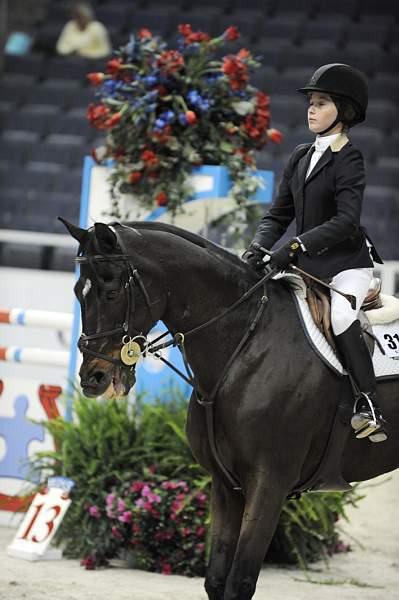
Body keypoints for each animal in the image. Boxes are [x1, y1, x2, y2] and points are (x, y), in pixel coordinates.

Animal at [61, 219, 399, 600]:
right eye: (78, 291)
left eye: (111, 292)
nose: (93, 378)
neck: (245, 346)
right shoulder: (225, 485)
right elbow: (216, 580)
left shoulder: (269, 485)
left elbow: (239, 583)